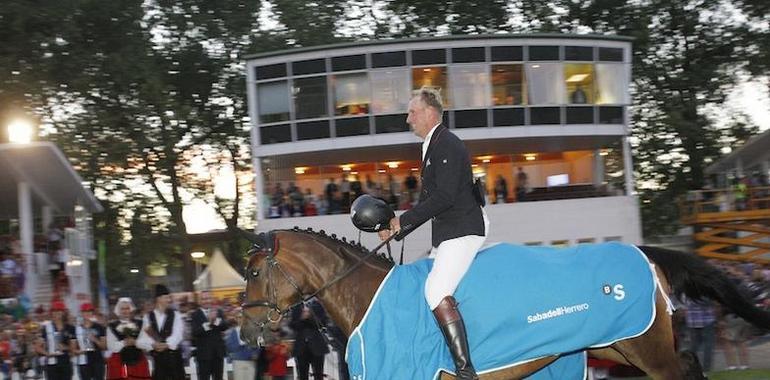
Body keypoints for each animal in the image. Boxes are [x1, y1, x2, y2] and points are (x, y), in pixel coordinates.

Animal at [240, 227, 768, 378]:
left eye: (253, 273)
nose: (245, 332)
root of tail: (644, 252)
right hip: (618, 346)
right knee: (690, 360)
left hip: (645, 348)